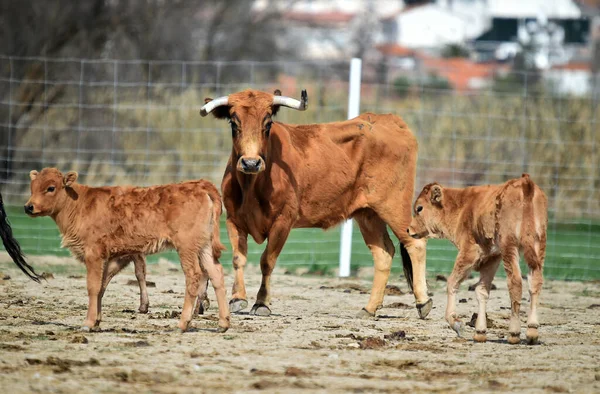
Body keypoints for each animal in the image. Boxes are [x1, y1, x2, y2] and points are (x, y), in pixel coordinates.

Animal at [25, 169, 230, 332]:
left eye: (51, 188)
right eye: (32, 187)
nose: (28, 207)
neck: (81, 203)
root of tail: (200, 185)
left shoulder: (94, 254)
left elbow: (93, 287)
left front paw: (88, 323)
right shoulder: (109, 257)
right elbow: (102, 287)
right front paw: (97, 321)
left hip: (187, 247)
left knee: (194, 276)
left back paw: (183, 323)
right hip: (204, 247)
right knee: (215, 273)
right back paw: (223, 323)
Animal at [202, 88, 432, 318]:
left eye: (267, 124)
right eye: (234, 123)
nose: (251, 163)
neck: (253, 185)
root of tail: (390, 120)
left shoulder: (283, 221)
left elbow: (267, 261)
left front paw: (261, 303)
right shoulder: (234, 220)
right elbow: (238, 258)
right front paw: (237, 298)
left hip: (394, 206)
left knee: (415, 244)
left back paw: (423, 302)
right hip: (368, 214)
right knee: (383, 253)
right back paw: (369, 308)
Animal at [410, 174, 548, 344]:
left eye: (419, 208)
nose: (409, 229)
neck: (461, 206)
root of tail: (525, 183)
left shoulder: (469, 252)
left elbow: (452, 283)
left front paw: (457, 324)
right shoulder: (492, 257)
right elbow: (481, 290)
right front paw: (480, 332)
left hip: (509, 246)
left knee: (515, 282)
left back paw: (514, 333)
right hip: (538, 244)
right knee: (535, 282)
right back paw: (532, 331)